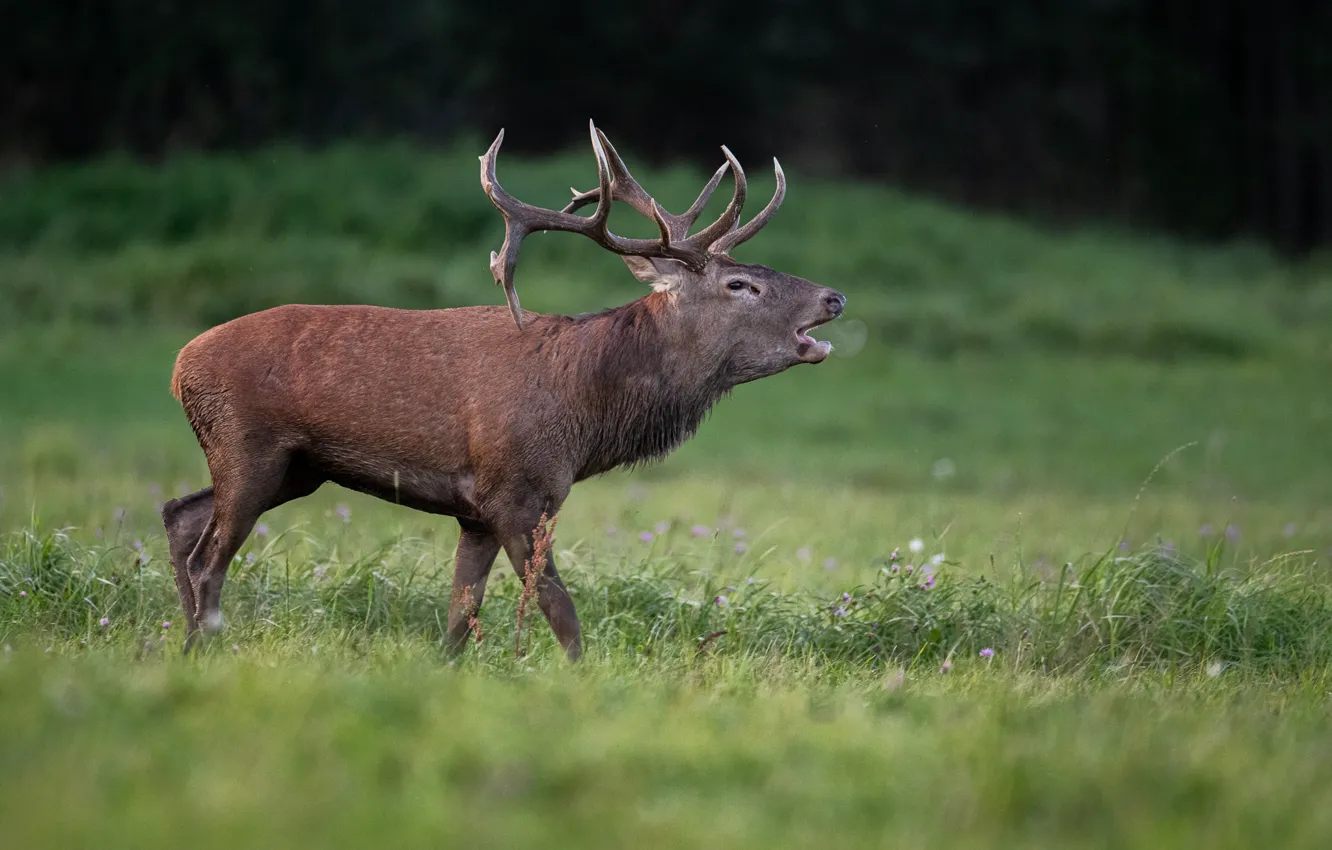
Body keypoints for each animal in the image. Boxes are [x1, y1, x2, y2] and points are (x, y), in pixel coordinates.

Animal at [158, 121, 841, 660]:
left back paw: (188, 644)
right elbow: (561, 614)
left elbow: (460, 620)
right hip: (250, 445)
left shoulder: (477, 513)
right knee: (208, 556)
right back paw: (207, 645)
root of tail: (179, 367)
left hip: (295, 468)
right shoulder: (515, 490)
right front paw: (578, 681)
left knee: (179, 515)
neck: (585, 414)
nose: (833, 297)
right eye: (740, 284)